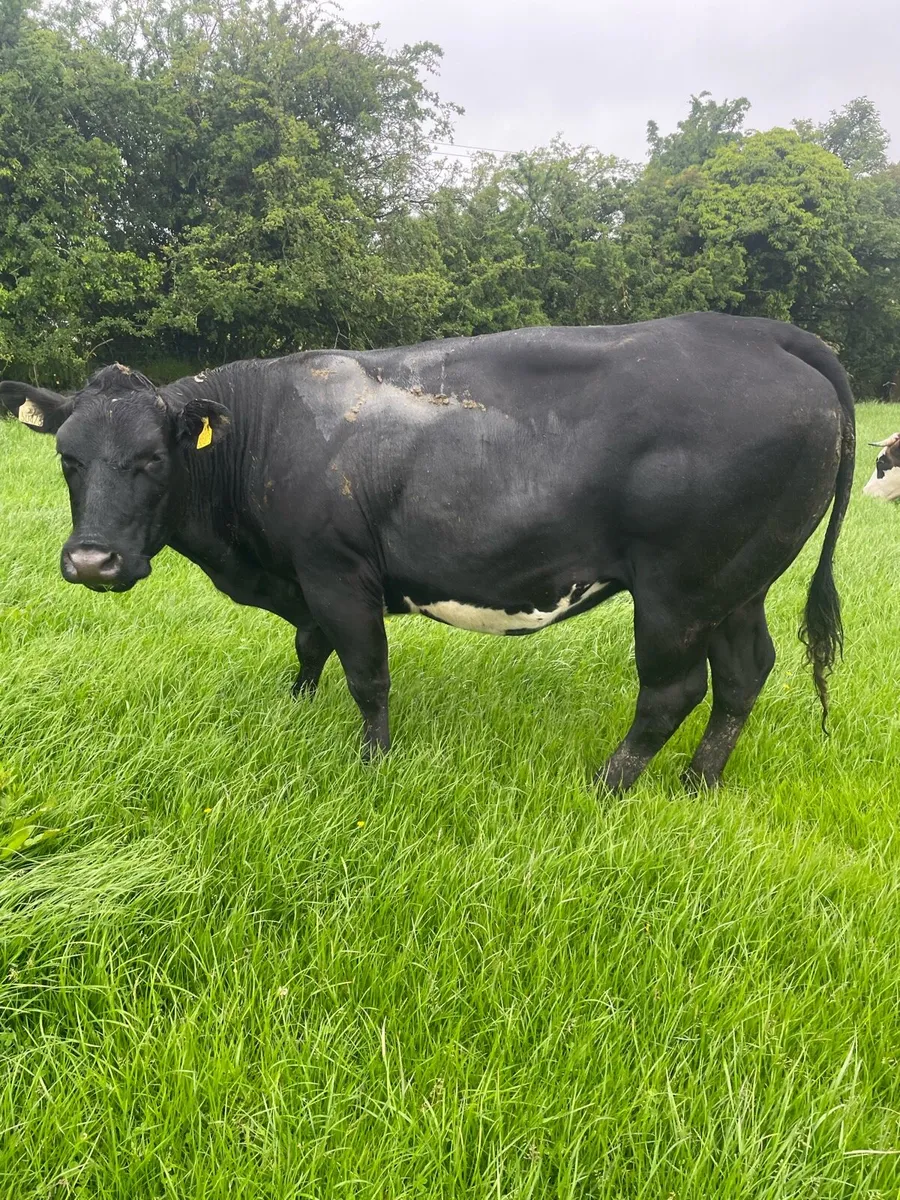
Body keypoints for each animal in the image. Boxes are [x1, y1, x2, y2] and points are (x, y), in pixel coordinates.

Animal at [1, 313, 855, 791]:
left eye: (152, 459)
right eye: (68, 459)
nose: (92, 562)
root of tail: (758, 330)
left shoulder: (337, 570)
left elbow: (366, 673)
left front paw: (373, 763)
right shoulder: (305, 577)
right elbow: (309, 647)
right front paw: (295, 708)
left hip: (678, 590)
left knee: (672, 691)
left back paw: (609, 785)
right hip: (738, 583)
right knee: (744, 675)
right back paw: (697, 783)